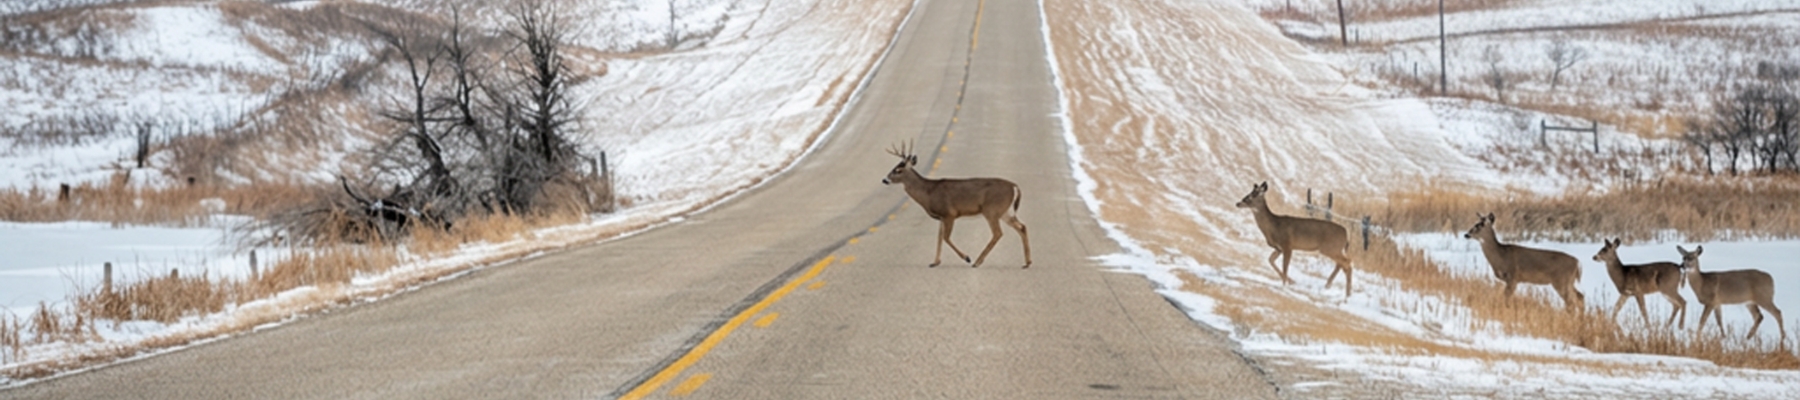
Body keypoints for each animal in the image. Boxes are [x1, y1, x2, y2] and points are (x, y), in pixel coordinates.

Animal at [881, 141, 1031, 268]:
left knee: (998, 233)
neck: (928, 193)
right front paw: (935, 262)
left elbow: (946, 238)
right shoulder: (942, 217)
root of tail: (1015, 187)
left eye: (898, 170)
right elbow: (939, 238)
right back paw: (1027, 262)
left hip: (991, 210)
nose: (884, 180)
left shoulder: (949, 213)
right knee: (1022, 227)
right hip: (1005, 211)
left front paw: (967, 257)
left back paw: (977, 262)